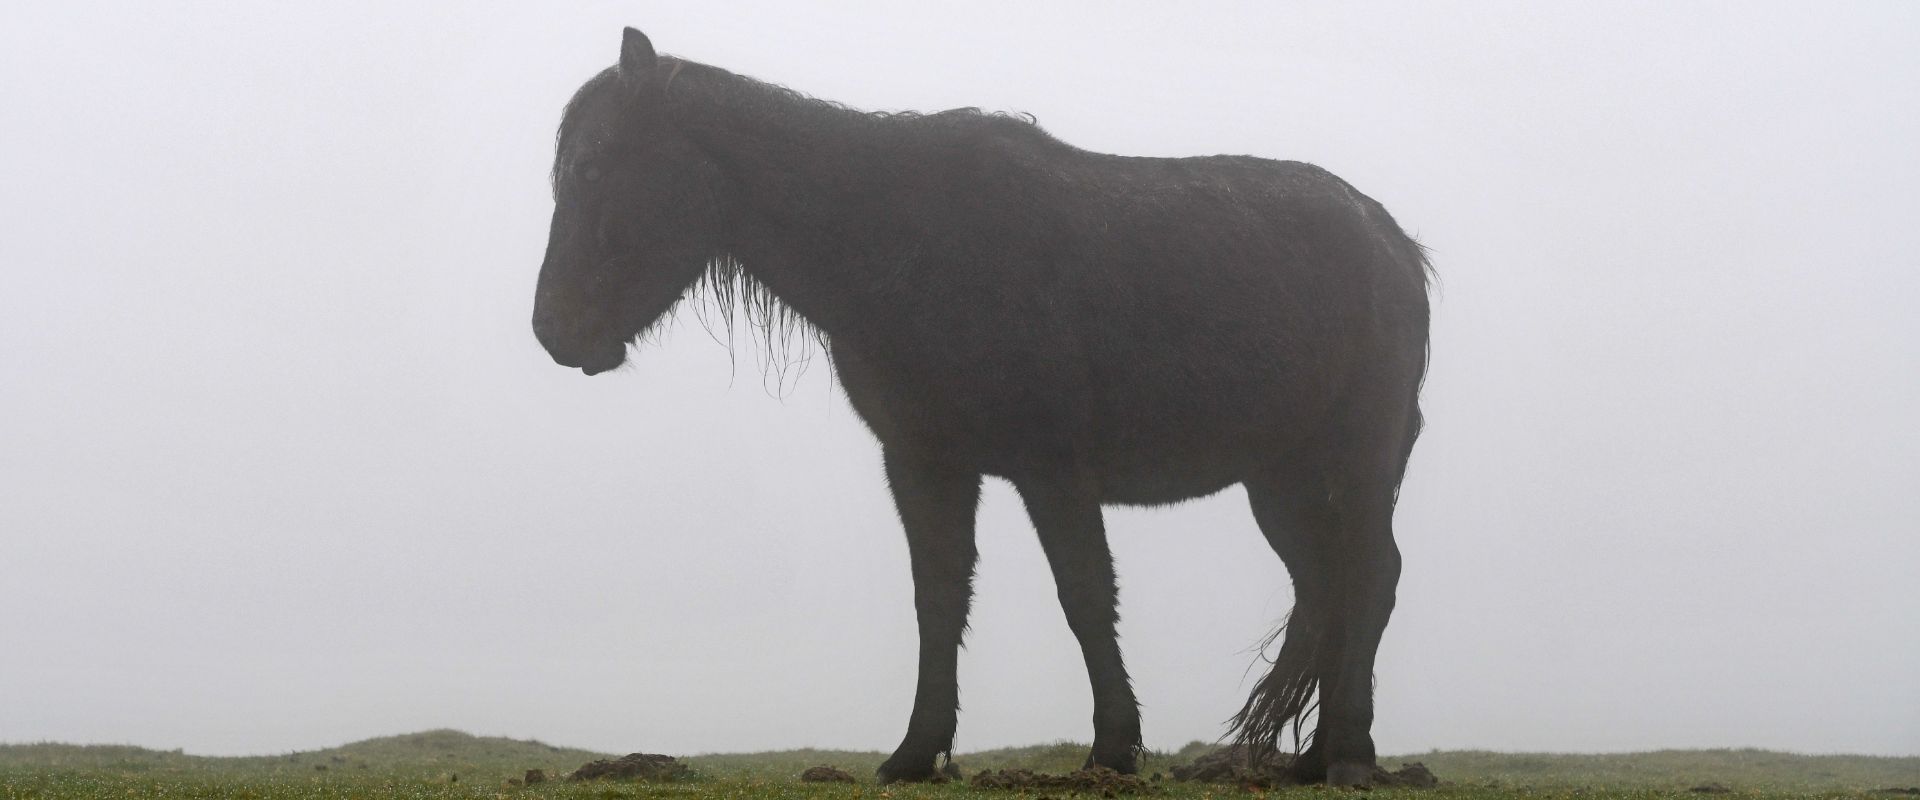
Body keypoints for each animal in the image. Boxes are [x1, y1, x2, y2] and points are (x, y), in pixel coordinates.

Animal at [533, 28, 1436, 782]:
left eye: (593, 168)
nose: (552, 330)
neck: (905, 246)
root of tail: (1393, 244)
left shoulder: (1052, 467)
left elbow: (1085, 596)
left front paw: (1113, 747)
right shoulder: (925, 463)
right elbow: (938, 599)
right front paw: (916, 751)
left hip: (1355, 462)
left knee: (1370, 575)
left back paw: (1349, 755)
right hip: (1280, 482)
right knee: (1326, 585)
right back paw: (1311, 758)